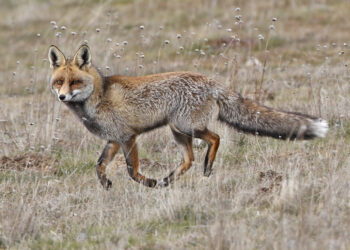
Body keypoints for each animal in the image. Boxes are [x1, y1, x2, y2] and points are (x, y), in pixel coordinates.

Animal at [47, 45, 328, 189]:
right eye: (59, 82)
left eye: (74, 82)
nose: (62, 97)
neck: (99, 95)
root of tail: (210, 81)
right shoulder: (114, 139)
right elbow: (99, 165)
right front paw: (106, 184)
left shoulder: (128, 136)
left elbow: (131, 170)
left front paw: (148, 182)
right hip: (178, 131)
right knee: (189, 159)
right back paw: (169, 179)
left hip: (186, 126)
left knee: (214, 139)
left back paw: (206, 167)